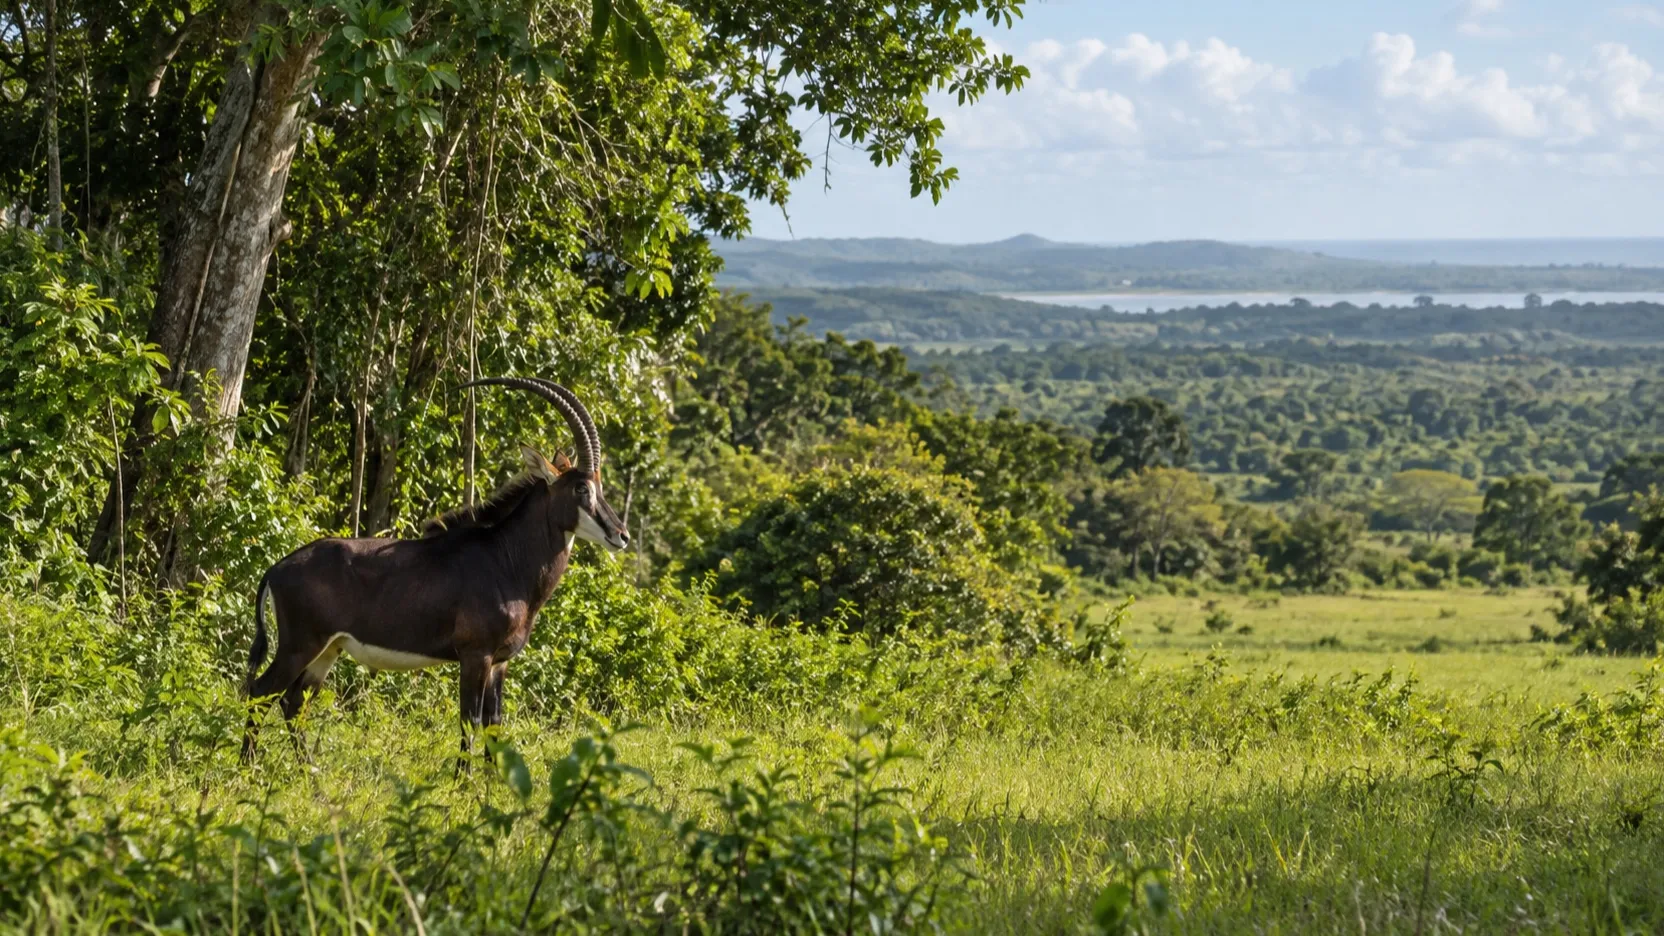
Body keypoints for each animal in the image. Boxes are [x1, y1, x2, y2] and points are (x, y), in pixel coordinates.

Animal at [240, 377, 629, 763]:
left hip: (328, 649)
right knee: (260, 692)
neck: (506, 559)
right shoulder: (475, 655)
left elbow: (494, 722)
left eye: (599, 486)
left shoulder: (500, 662)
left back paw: (310, 771)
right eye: (581, 488)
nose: (621, 535)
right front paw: (463, 777)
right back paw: (249, 768)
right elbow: (470, 719)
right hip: (299, 645)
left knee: (293, 703)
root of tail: (276, 569)